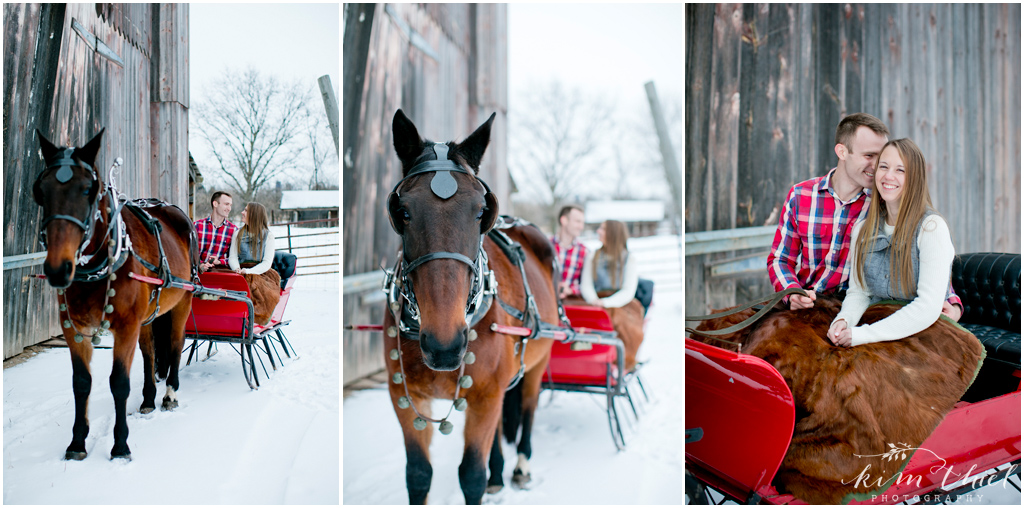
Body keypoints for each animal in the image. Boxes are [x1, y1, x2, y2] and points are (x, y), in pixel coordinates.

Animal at [33, 130, 197, 460]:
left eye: (88, 190)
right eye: (40, 191)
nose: (58, 269)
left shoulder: (125, 327)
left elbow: (119, 383)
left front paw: (120, 445)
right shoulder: (75, 330)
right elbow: (81, 383)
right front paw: (77, 443)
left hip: (182, 301)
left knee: (175, 345)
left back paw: (169, 394)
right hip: (147, 316)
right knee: (149, 353)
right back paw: (148, 399)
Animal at [385, 109, 561, 501]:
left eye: (482, 210)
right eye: (401, 210)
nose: (445, 346)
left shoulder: (486, 394)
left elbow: (471, 475)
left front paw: (489, 473)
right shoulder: (405, 397)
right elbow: (418, 474)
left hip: (537, 362)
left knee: (528, 409)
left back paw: (520, 465)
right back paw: (499, 470)